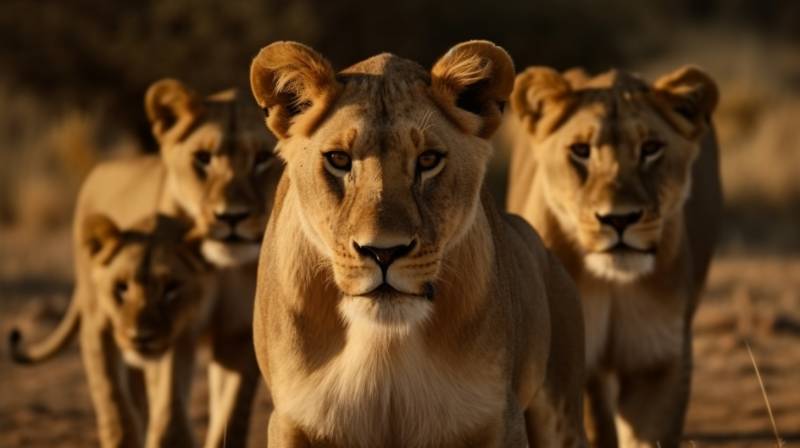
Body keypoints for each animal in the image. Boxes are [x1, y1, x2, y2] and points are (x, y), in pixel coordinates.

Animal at [248, 40, 588, 446]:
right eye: (339, 159)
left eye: (428, 160)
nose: (383, 251)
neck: (384, 342)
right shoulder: (292, 419)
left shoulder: (498, 417)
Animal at [510, 65, 720, 446]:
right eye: (581, 150)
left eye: (651, 148)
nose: (619, 219)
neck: (613, 284)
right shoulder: (574, 359)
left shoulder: (658, 362)